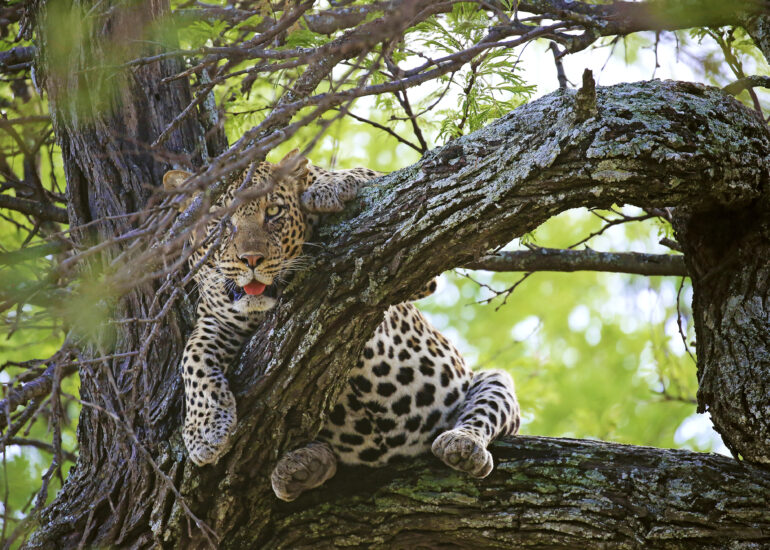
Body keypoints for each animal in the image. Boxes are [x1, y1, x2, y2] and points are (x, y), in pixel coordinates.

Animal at [163, 150, 521, 501]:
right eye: (220, 223)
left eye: (274, 211)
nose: (251, 260)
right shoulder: (218, 318)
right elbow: (192, 356)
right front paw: (204, 431)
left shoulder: (420, 275)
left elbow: (361, 172)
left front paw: (328, 187)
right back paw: (299, 468)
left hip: (491, 381)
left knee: (483, 415)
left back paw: (463, 445)